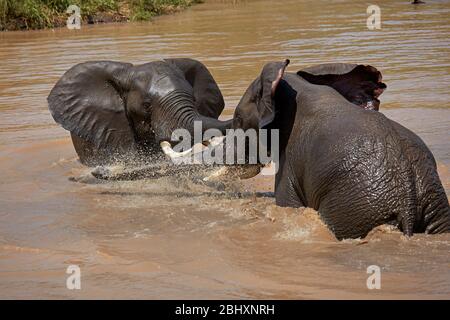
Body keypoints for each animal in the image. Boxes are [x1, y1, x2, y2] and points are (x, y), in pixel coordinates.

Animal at [230, 59, 448, 240]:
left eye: (238, 119)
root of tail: (408, 200)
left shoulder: (290, 163)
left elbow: (288, 203)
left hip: (356, 206)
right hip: (432, 202)